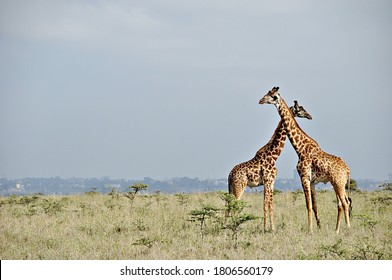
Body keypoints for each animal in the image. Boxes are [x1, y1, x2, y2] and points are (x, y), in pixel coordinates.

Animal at [227, 100, 312, 232]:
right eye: (300, 109)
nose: (309, 116)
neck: (274, 155)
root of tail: (230, 175)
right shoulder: (268, 181)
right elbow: (266, 205)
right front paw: (267, 228)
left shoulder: (271, 182)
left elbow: (270, 204)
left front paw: (271, 227)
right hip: (239, 187)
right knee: (234, 205)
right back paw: (235, 226)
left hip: (231, 188)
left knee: (228, 205)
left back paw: (225, 226)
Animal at [258, 86, 350, 233]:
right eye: (267, 93)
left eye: (273, 96)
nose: (260, 100)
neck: (300, 148)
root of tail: (347, 170)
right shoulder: (311, 181)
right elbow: (314, 204)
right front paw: (317, 227)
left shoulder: (304, 177)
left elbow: (308, 204)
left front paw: (310, 230)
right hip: (337, 183)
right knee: (342, 203)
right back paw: (339, 230)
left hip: (338, 182)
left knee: (345, 203)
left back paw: (346, 229)